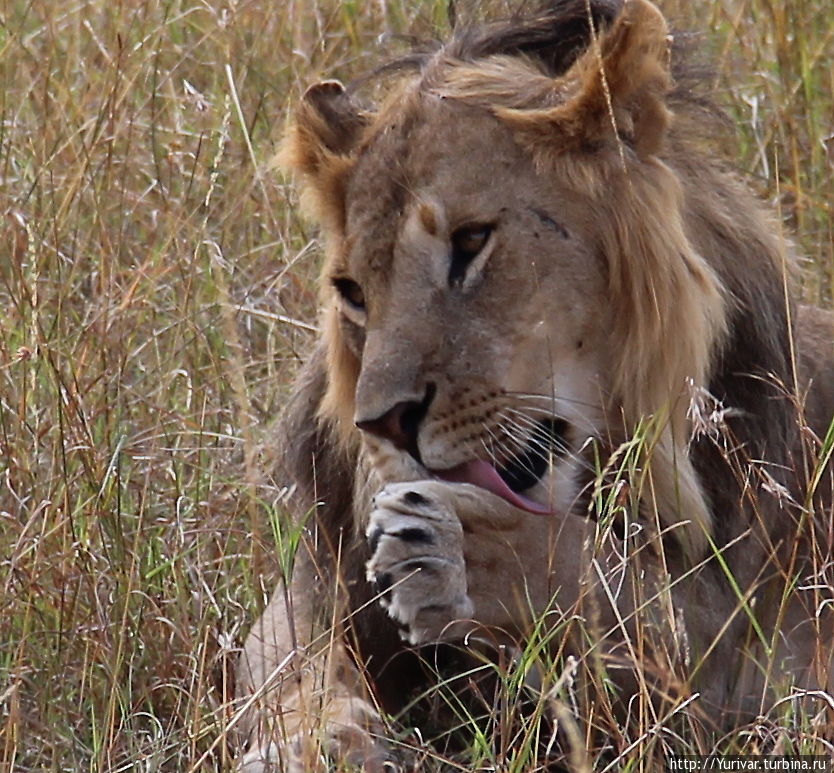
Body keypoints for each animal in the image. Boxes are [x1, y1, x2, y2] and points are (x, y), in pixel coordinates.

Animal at [231, 1, 828, 764]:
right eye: (354, 293)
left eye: (471, 241)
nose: (383, 424)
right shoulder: (298, 606)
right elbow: (299, 678)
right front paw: (313, 746)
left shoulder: (770, 672)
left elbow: (623, 594)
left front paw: (461, 548)